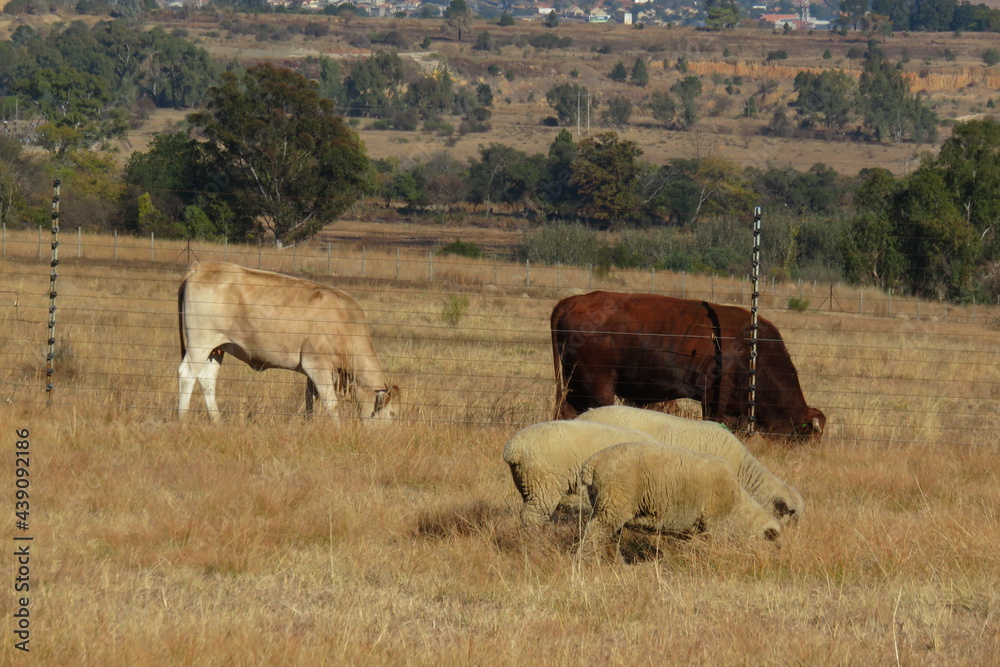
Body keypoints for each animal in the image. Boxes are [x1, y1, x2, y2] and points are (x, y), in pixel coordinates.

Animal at [178, 262, 400, 422]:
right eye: (392, 414)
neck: (343, 321)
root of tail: (200, 267)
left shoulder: (312, 372)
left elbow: (310, 401)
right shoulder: (317, 366)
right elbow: (331, 403)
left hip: (216, 348)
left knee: (207, 379)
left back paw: (217, 421)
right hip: (200, 342)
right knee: (187, 374)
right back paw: (182, 419)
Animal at [552, 290, 824, 438]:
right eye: (806, 437)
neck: (754, 350)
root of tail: (569, 302)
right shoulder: (713, 400)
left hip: (573, 386)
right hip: (599, 386)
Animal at [580, 444, 780, 564]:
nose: (777, 562)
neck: (739, 508)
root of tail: (592, 462)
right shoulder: (716, 522)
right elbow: (716, 542)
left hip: (605, 503)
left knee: (609, 537)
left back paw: (617, 564)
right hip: (614, 502)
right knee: (595, 532)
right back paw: (589, 560)